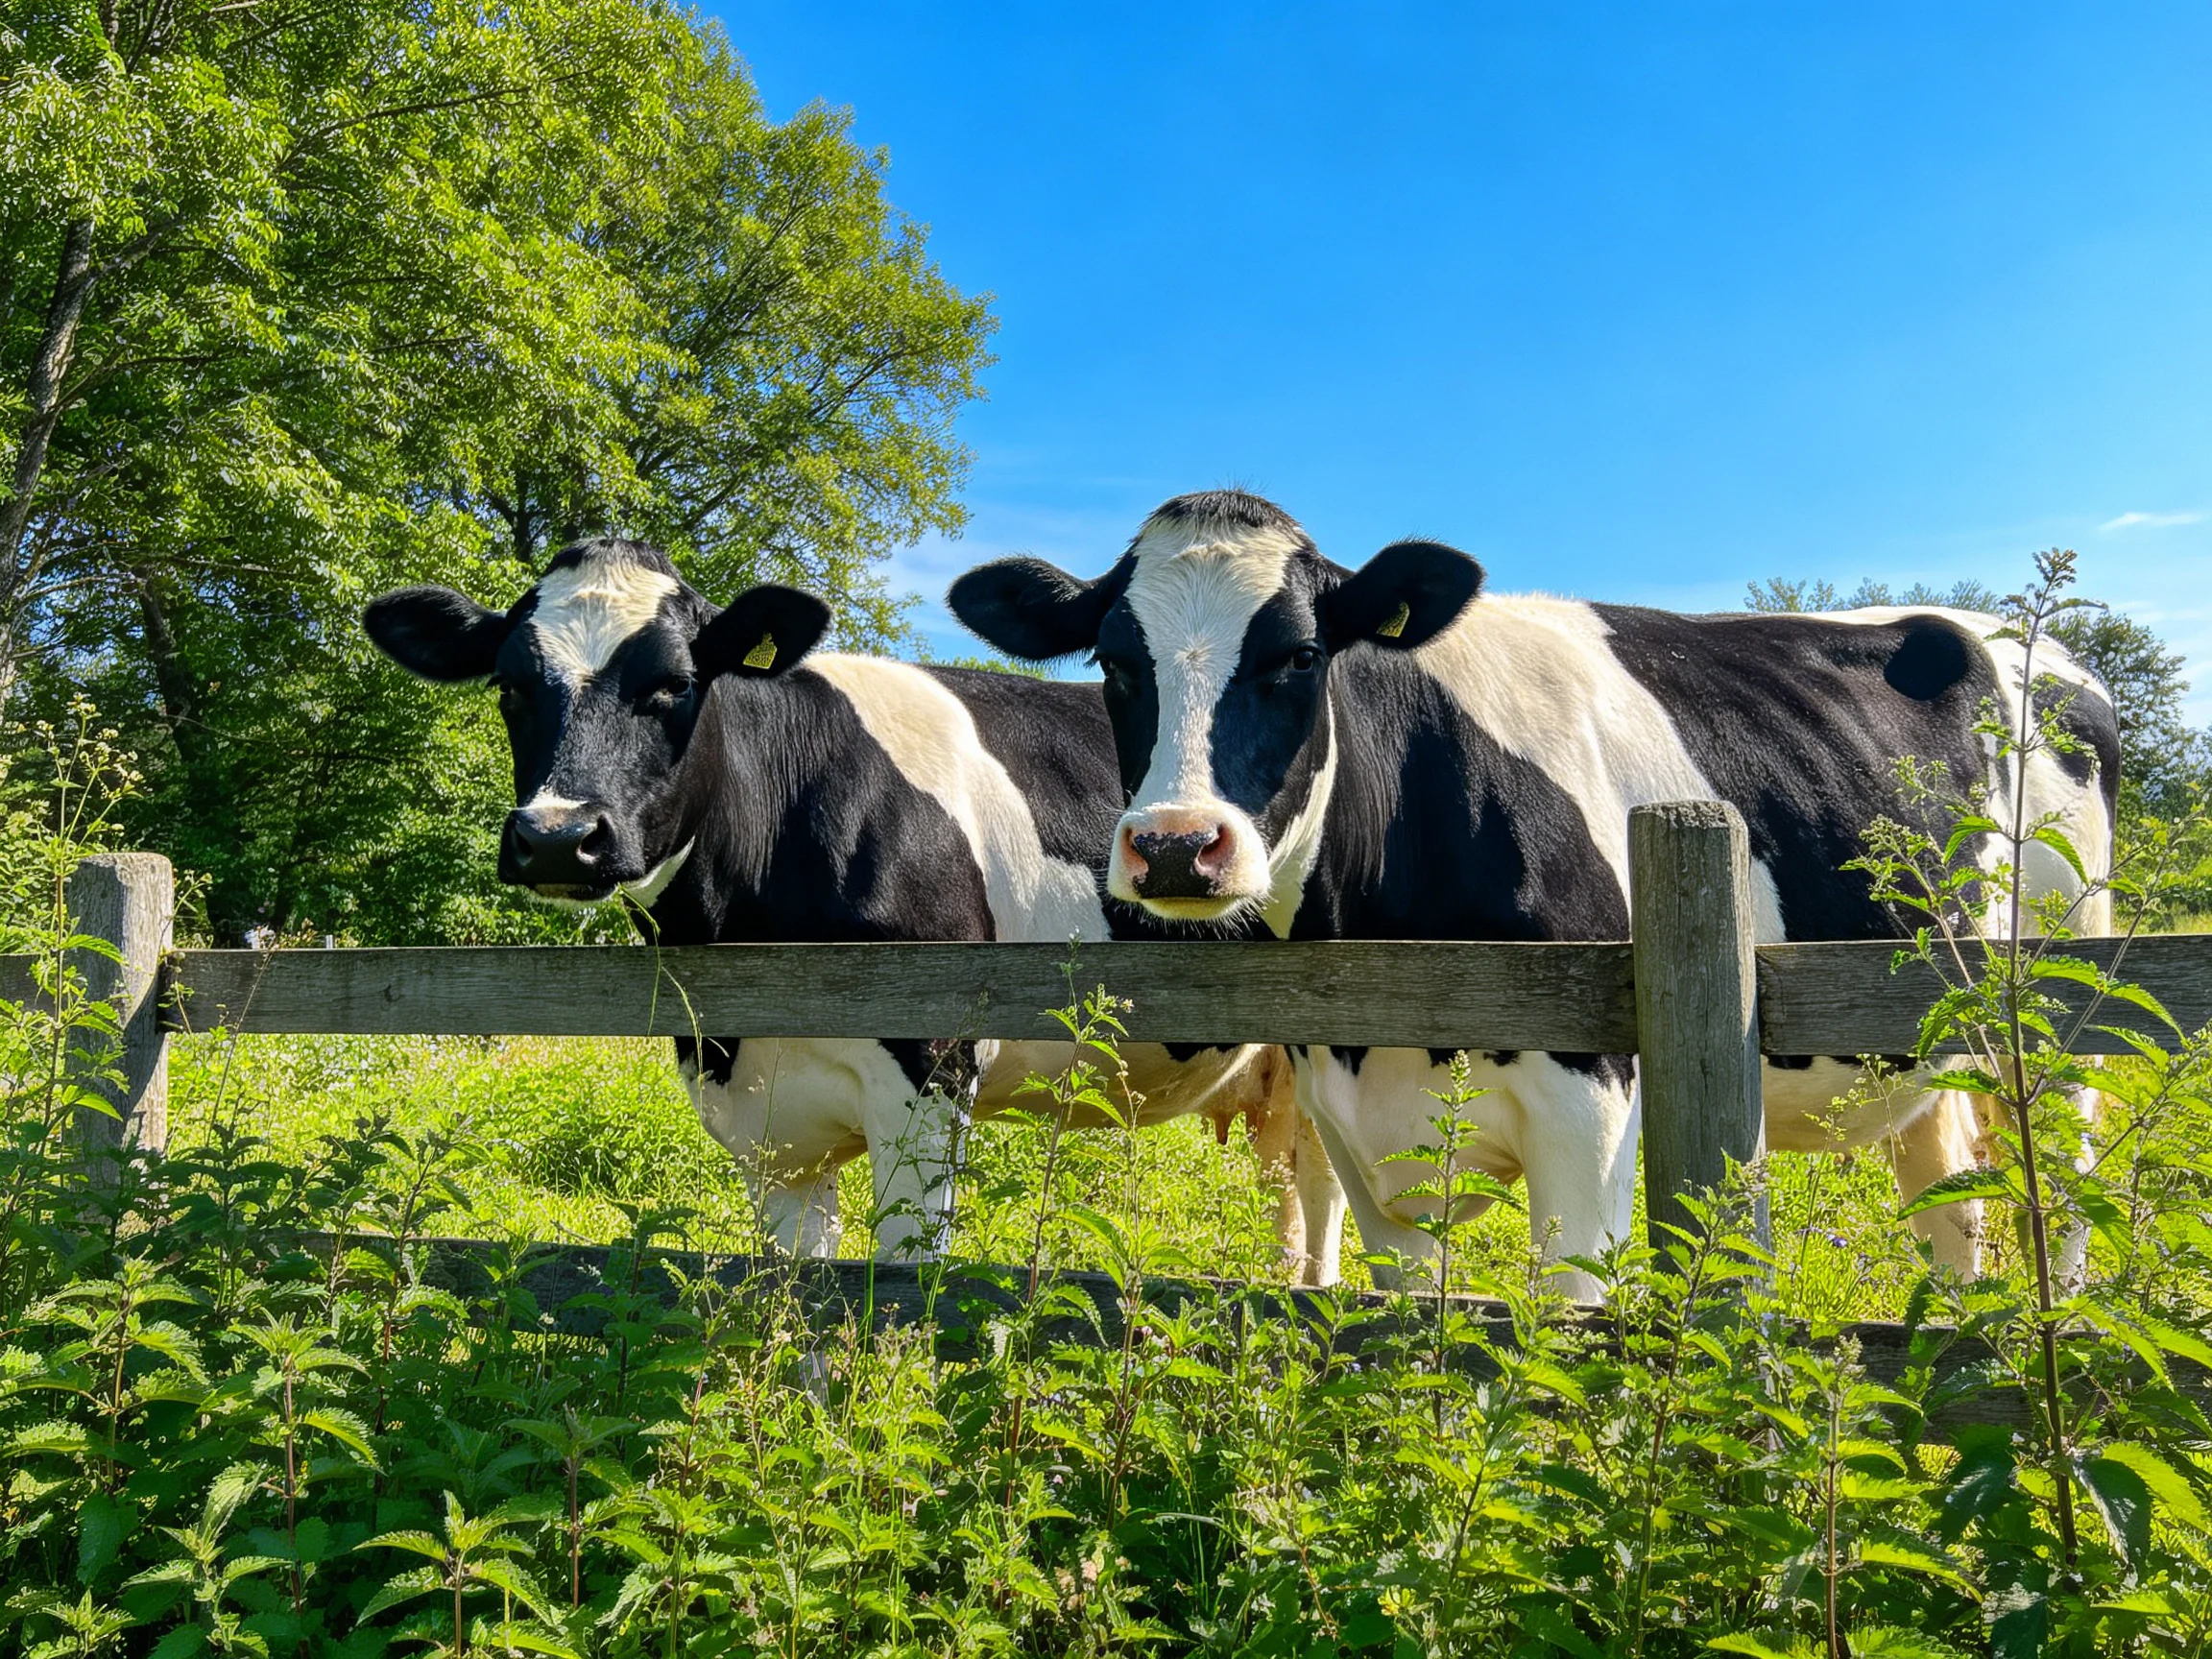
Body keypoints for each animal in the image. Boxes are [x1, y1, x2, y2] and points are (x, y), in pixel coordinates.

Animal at [948, 490, 2119, 1299]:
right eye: (1113, 662)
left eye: (1300, 655)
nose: (1178, 847)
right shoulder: (1356, 1131)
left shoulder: (1590, 1117)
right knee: (1949, 1196)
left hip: (2061, 1005)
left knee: (2060, 1186)